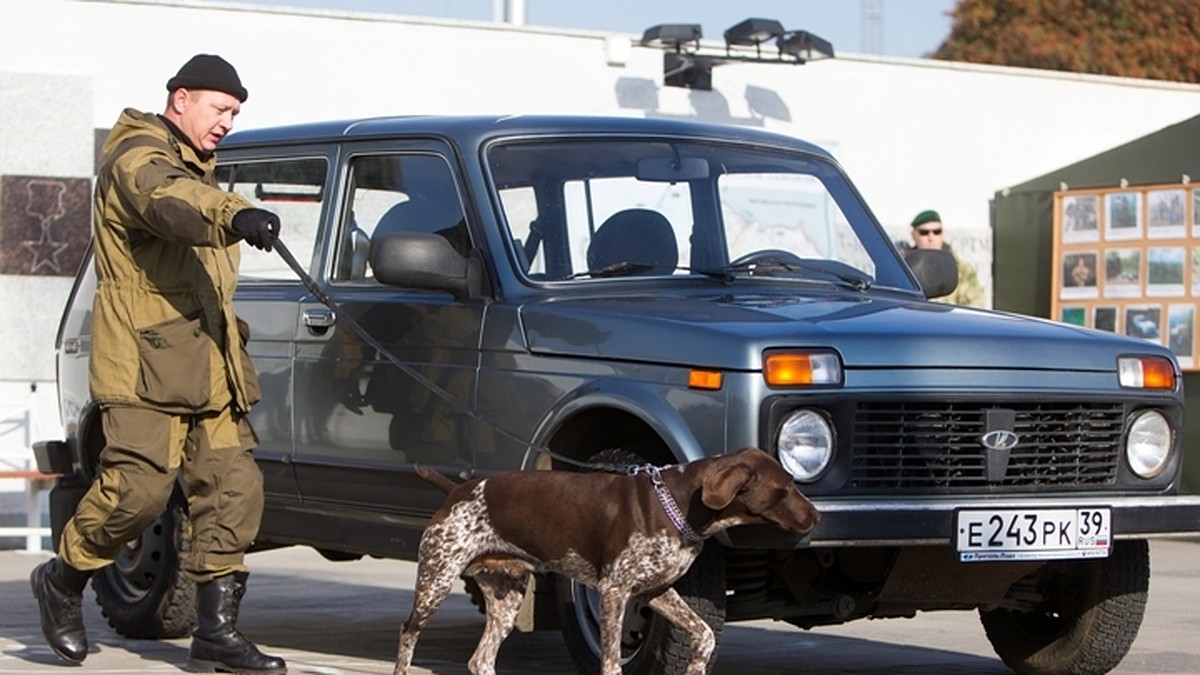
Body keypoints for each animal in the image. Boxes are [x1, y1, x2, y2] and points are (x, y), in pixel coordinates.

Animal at [398, 446, 820, 672]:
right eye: (785, 489)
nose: (817, 516)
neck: (679, 503)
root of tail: (458, 491)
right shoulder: (614, 592)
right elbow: (612, 662)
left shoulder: (657, 592)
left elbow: (703, 635)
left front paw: (697, 666)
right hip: (436, 579)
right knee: (408, 634)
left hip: (505, 598)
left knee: (481, 661)